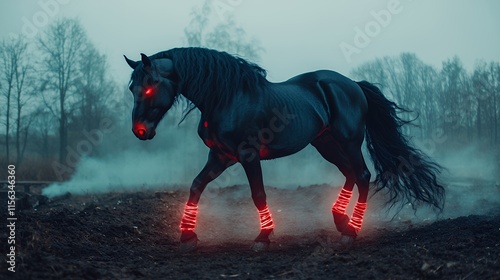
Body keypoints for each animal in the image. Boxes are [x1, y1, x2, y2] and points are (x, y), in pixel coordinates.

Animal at [123, 47, 444, 252]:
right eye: (131, 88)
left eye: (150, 85)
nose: (140, 132)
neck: (226, 98)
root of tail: (352, 84)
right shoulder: (221, 156)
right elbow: (196, 186)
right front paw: (188, 236)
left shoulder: (248, 155)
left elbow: (258, 194)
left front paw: (263, 238)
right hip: (325, 144)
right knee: (351, 174)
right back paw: (340, 222)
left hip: (349, 140)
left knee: (363, 175)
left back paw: (351, 231)